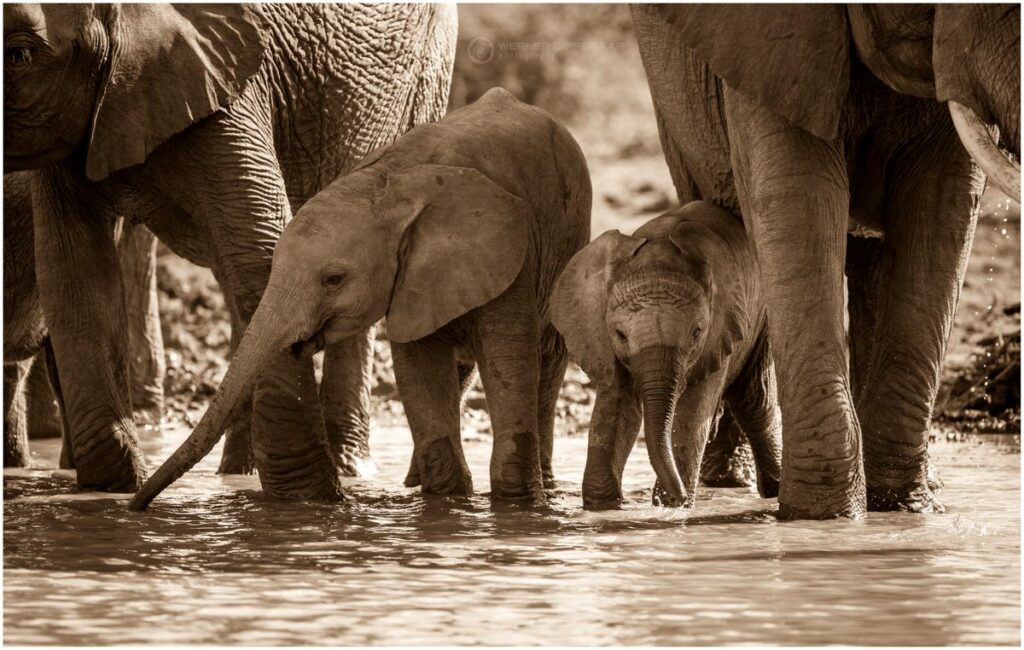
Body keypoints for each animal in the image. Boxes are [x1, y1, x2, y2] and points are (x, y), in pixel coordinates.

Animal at [130, 88, 593, 509]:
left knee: (547, 363)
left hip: (567, 237)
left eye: (333, 279)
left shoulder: (510, 251)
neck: (390, 184)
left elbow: (509, 362)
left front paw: (516, 507)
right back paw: (415, 483)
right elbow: (420, 371)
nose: (136, 506)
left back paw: (548, 489)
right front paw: (446, 501)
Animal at [552, 201, 781, 508]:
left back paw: (775, 490)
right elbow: (618, 406)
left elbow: (693, 410)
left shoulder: (719, 332)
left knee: (754, 401)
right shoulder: (602, 340)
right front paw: (604, 505)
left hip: (761, 319)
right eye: (620, 335)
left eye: (696, 333)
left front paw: (670, 506)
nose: (677, 496)